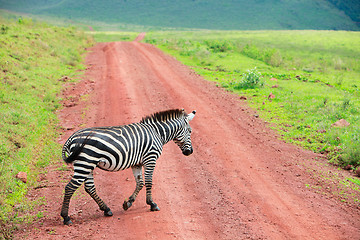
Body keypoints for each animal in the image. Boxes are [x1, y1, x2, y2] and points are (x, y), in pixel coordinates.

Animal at [61, 109, 197, 225]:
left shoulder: (137, 163)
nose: (190, 152)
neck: (157, 133)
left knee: (90, 188)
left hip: (88, 165)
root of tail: (71, 138)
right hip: (85, 163)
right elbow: (148, 182)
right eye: (190, 131)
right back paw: (66, 217)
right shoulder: (150, 158)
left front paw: (128, 203)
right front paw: (152, 204)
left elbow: (140, 183)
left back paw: (106, 209)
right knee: (70, 188)